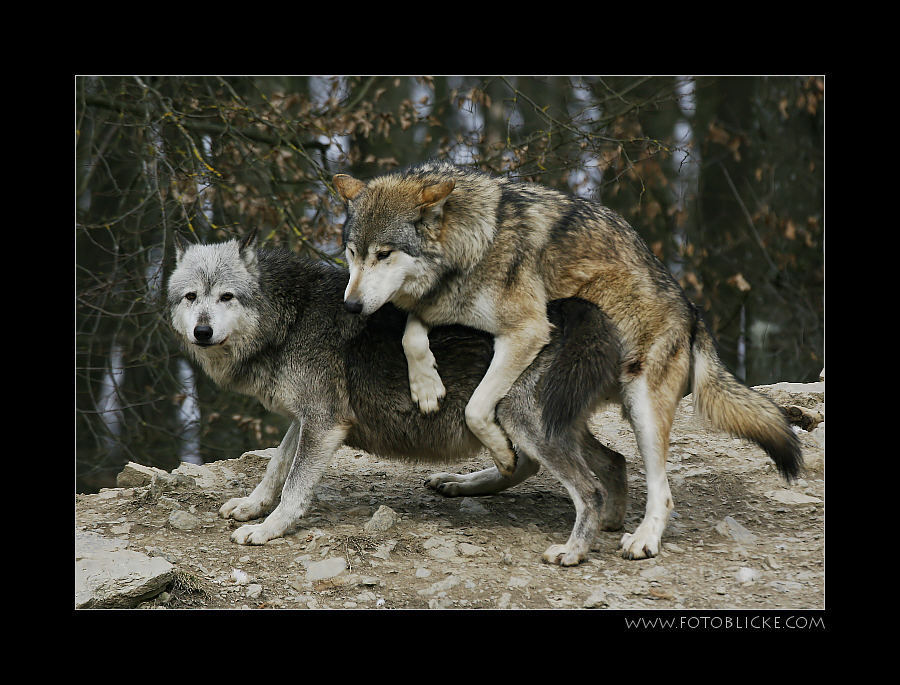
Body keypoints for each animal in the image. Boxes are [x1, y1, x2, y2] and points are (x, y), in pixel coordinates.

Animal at [169, 231, 628, 568]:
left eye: (227, 297)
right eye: (191, 297)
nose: (202, 332)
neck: (291, 317)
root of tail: (578, 311)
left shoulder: (324, 423)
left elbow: (294, 487)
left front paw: (268, 529)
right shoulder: (306, 420)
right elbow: (275, 468)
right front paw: (252, 507)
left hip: (520, 420)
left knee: (587, 486)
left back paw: (574, 550)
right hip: (547, 425)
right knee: (610, 460)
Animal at [334, 160, 800, 560]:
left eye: (384, 254)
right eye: (353, 252)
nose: (351, 306)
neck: (472, 244)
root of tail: (693, 313)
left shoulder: (528, 332)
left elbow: (475, 409)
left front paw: (491, 444)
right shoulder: (445, 313)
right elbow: (412, 331)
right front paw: (426, 387)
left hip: (633, 405)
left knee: (658, 489)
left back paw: (643, 538)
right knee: (581, 462)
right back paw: (468, 482)